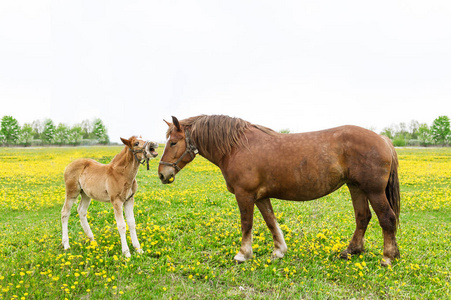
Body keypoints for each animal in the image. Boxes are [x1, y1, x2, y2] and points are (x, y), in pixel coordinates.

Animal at [160, 115, 402, 264]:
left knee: (387, 218)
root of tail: (383, 139)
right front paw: (279, 251)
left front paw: (243, 254)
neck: (236, 147)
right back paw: (351, 251)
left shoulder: (245, 195)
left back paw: (388, 257)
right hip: (356, 188)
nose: (162, 174)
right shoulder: (260, 196)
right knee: (363, 217)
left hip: (373, 191)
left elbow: (247, 224)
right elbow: (271, 221)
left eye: (173, 142)